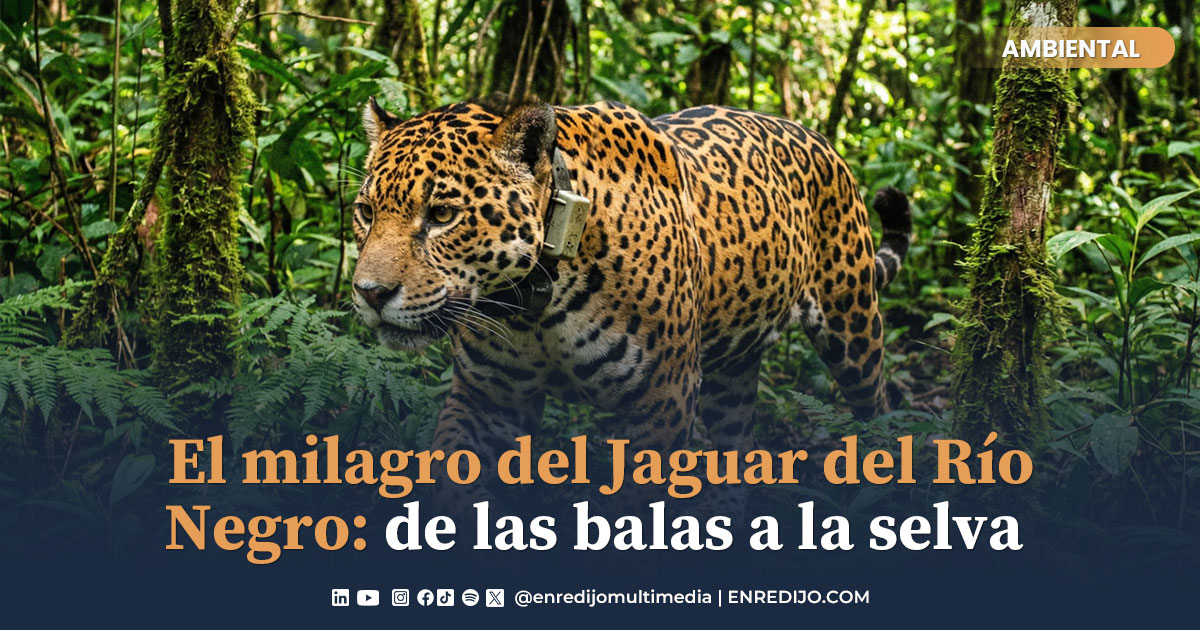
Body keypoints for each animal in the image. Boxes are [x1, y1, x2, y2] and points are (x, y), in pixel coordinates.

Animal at [350, 98, 912, 507]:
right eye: (365, 211)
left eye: (443, 214)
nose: (370, 293)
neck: (535, 304)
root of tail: (818, 138)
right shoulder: (488, 396)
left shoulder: (663, 400)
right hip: (729, 373)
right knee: (735, 446)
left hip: (853, 326)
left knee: (879, 414)